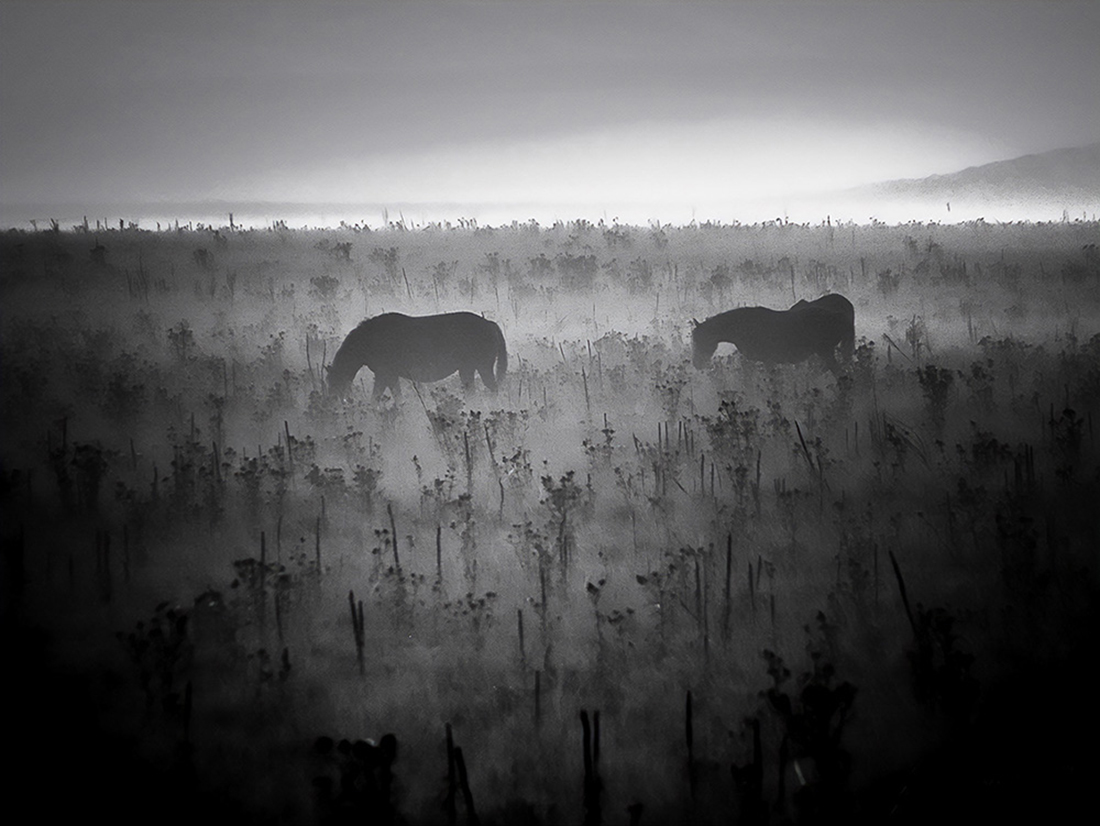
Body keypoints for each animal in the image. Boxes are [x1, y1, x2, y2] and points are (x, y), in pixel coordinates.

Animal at [323, 312, 508, 402]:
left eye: (336, 381)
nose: (333, 400)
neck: (371, 339)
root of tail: (489, 324)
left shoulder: (385, 375)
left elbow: (377, 398)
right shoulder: (390, 376)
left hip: (483, 367)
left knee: (493, 388)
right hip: (467, 369)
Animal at [690, 294, 853, 373]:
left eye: (700, 341)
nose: (697, 364)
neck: (744, 326)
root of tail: (840, 315)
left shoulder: (768, 361)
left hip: (826, 352)